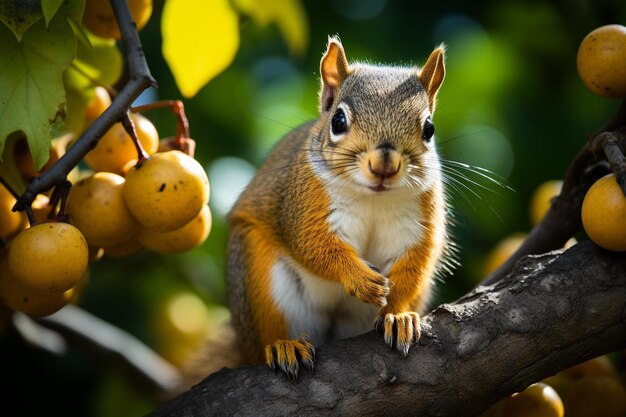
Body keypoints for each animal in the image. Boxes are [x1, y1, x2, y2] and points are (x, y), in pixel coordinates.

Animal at [178, 35, 446, 386]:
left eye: (429, 128)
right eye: (338, 121)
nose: (384, 166)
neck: (373, 198)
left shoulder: (419, 221)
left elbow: (415, 263)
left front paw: (398, 315)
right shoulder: (303, 203)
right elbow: (313, 245)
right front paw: (359, 278)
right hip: (257, 275)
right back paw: (285, 345)